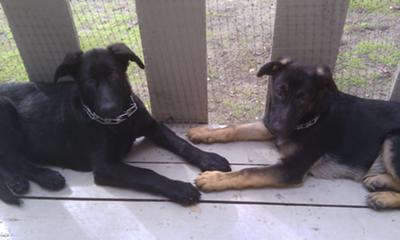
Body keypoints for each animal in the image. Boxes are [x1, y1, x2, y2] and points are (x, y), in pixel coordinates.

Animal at [0, 42, 230, 204]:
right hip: (5, 110)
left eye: (113, 75)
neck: (119, 123)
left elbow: (179, 142)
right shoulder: (105, 166)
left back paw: (16, 181)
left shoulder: (152, 126)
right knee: (13, 157)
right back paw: (45, 177)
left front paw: (208, 158)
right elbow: (145, 173)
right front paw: (179, 188)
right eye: (89, 82)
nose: (109, 109)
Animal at [189, 58, 400, 210]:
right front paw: (202, 131)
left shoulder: (292, 168)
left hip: (392, 139)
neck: (312, 118)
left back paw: (383, 197)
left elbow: (249, 171)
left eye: (302, 99)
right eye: (279, 91)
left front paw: (214, 179)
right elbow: (234, 129)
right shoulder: (268, 125)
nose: (276, 128)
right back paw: (379, 181)